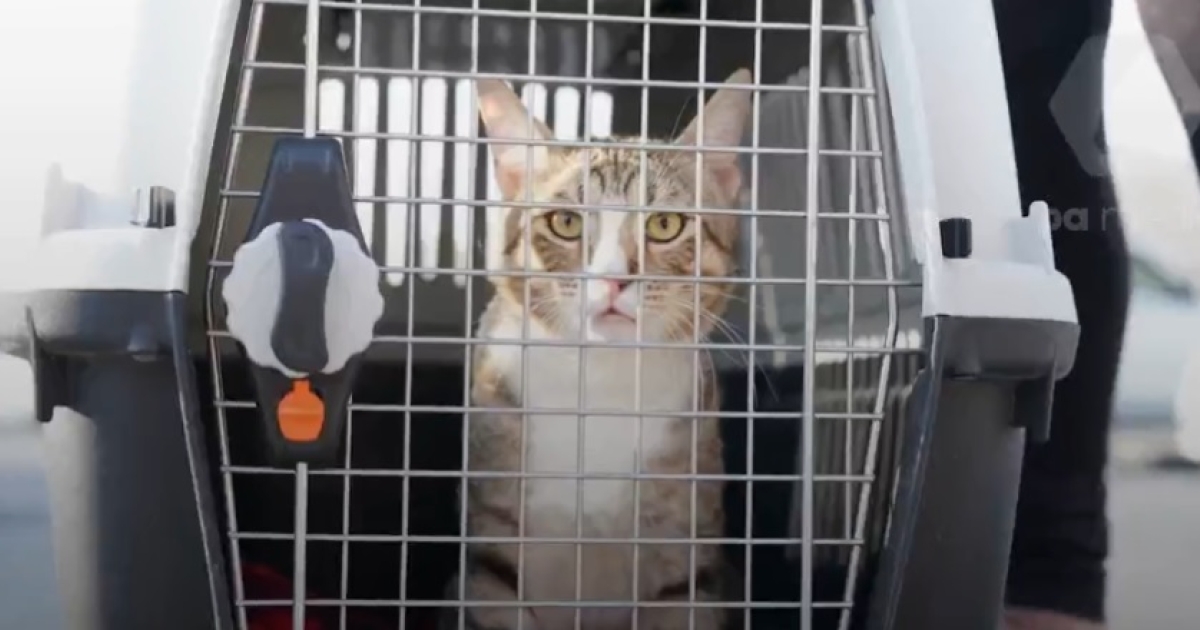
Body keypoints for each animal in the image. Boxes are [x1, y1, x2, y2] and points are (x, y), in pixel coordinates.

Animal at [445, 69, 753, 630]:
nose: (613, 278)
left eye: (664, 224)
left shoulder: (684, 549)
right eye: (565, 222)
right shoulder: (492, 545)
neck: (601, 385)